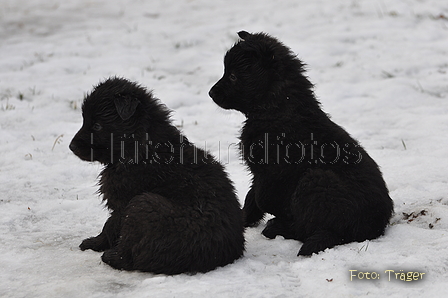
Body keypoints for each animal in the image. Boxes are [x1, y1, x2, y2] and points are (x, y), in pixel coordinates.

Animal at [70, 77, 245, 274]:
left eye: (97, 125)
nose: (71, 146)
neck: (141, 148)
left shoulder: (124, 202)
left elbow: (111, 225)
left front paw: (96, 243)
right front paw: (93, 242)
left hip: (143, 205)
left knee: (130, 255)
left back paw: (111, 257)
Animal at [208, 32, 394, 256]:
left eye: (234, 76)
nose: (211, 93)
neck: (278, 108)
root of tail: (374, 227)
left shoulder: (273, 172)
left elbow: (262, 197)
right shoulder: (260, 173)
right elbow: (252, 197)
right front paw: (243, 220)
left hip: (314, 180)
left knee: (311, 229)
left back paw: (278, 227)